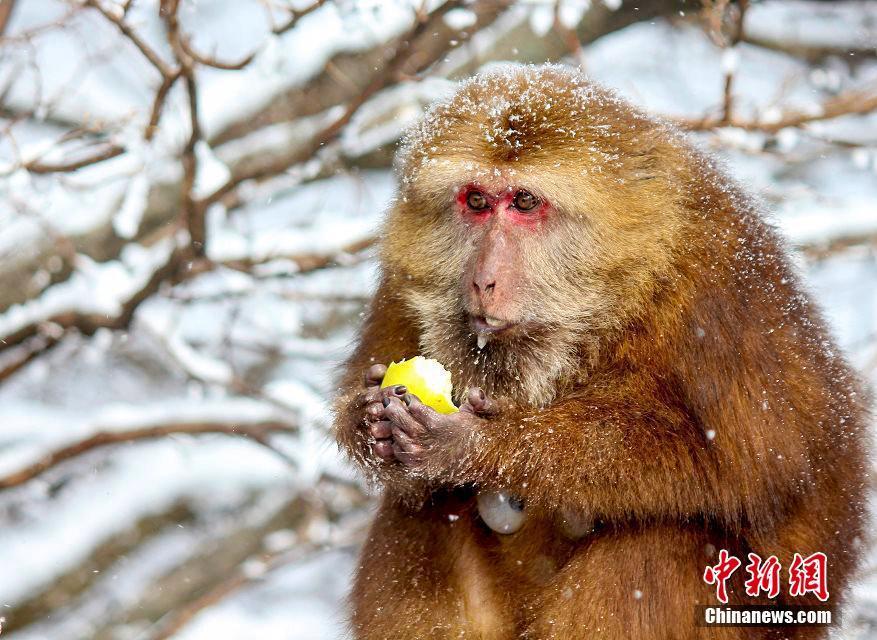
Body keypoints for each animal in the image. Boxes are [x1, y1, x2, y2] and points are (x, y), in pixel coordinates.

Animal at [332, 66, 864, 640]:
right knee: (422, 511)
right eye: (476, 202)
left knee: (657, 541)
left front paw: (481, 444)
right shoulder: (404, 275)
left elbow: (759, 466)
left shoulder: (718, 289)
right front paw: (366, 421)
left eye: (524, 202)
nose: (482, 281)